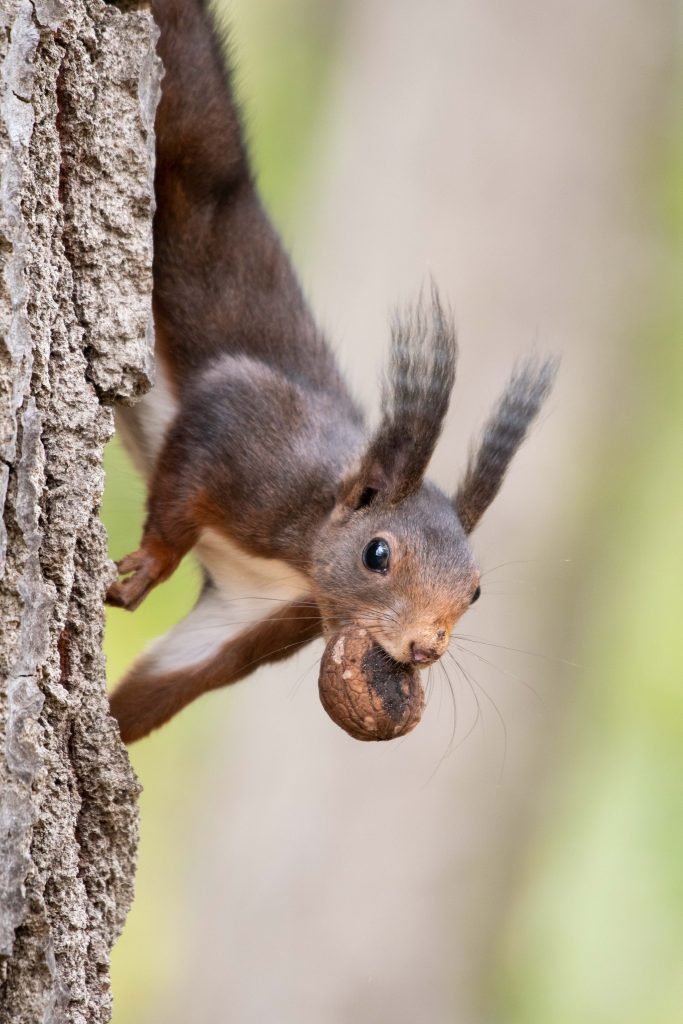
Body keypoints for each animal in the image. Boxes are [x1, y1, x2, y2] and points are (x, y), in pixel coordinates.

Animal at [105, 0, 557, 749]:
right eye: (377, 555)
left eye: (475, 590)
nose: (424, 647)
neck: (308, 540)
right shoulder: (252, 438)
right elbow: (198, 457)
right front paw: (148, 564)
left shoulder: (257, 610)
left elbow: (171, 681)